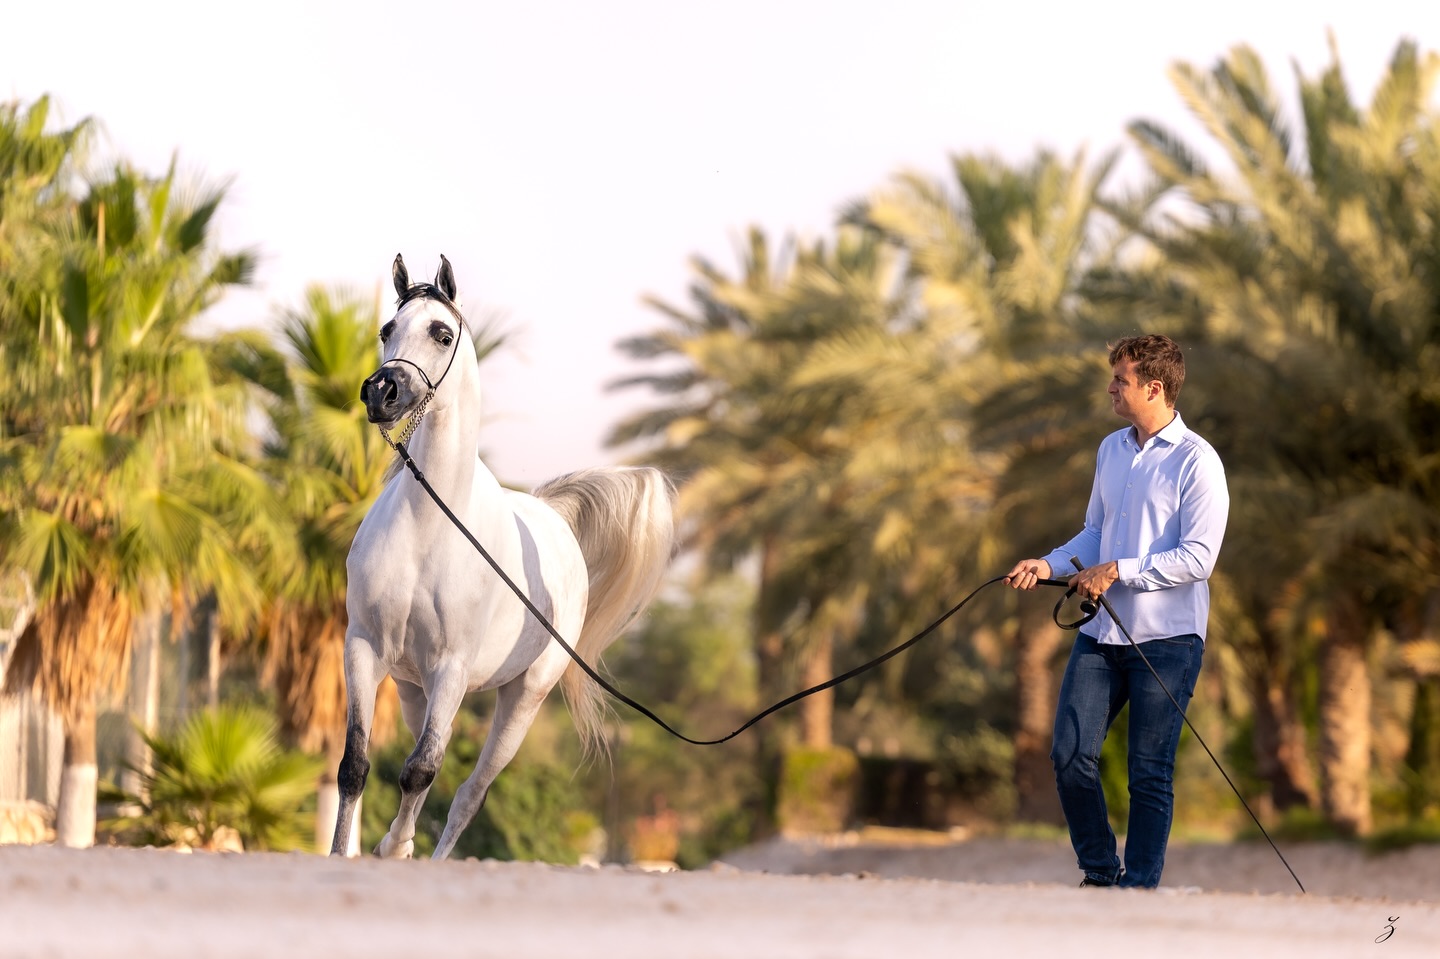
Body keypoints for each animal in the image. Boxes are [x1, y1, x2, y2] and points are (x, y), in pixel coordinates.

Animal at [329, 253, 677, 859]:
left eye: (442, 333)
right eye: (387, 329)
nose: (381, 392)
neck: (429, 528)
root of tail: (554, 517)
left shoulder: (451, 668)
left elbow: (421, 770)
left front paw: (392, 851)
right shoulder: (365, 648)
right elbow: (356, 765)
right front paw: (350, 852)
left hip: (521, 700)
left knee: (467, 792)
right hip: (412, 686)